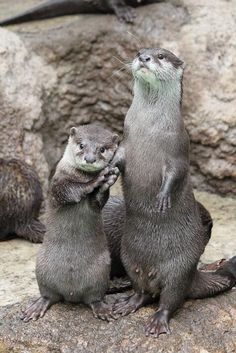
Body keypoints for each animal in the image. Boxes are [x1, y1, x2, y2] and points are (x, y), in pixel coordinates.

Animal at [20, 124, 120, 322]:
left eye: (102, 149)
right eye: (81, 145)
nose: (90, 158)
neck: (79, 175)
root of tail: (71, 294)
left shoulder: (96, 204)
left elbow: (97, 201)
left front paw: (109, 181)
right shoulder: (57, 184)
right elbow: (70, 190)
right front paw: (96, 180)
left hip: (102, 271)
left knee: (94, 297)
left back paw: (102, 308)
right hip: (41, 267)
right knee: (48, 295)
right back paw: (37, 306)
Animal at [108, 48, 236, 336]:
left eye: (161, 56)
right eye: (139, 51)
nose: (144, 58)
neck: (148, 127)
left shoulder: (179, 146)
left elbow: (176, 173)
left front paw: (163, 198)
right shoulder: (125, 141)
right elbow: (116, 157)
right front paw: (105, 171)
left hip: (179, 268)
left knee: (170, 298)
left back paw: (158, 321)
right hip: (128, 255)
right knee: (143, 292)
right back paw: (127, 303)